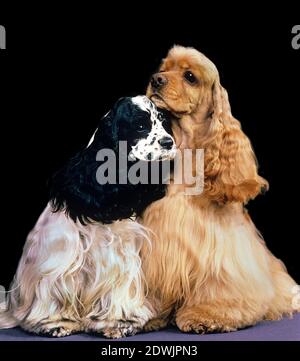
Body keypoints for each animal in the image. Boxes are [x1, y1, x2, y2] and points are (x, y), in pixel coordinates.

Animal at [0, 95, 176, 338]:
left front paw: (119, 322)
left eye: (162, 121)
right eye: (140, 125)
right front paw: (56, 323)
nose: (169, 142)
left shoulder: (121, 260)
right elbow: (55, 294)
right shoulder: (59, 261)